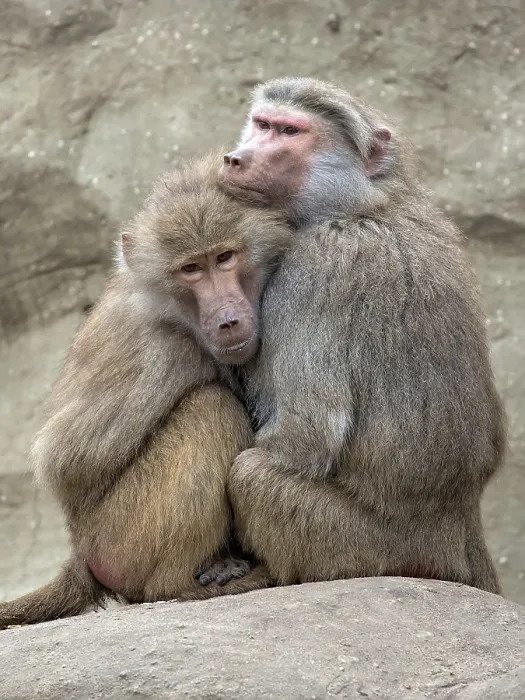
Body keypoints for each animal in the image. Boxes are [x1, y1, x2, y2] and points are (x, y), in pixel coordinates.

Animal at [0, 153, 291, 629]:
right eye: (191, 269)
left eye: (224, 257)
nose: (228, 320)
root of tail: (81, 554)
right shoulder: (160, 350)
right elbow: (64, 462)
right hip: (121, 539)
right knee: (210, 407)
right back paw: (192, 584)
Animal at [207, 77, 506, 594]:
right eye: (262, 123)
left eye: (289, 132)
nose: (235, 158)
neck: (362, 205)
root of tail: (456, 533)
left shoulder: (316, 267)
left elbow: (307, 435)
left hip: (372, 549)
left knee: (251, 476)